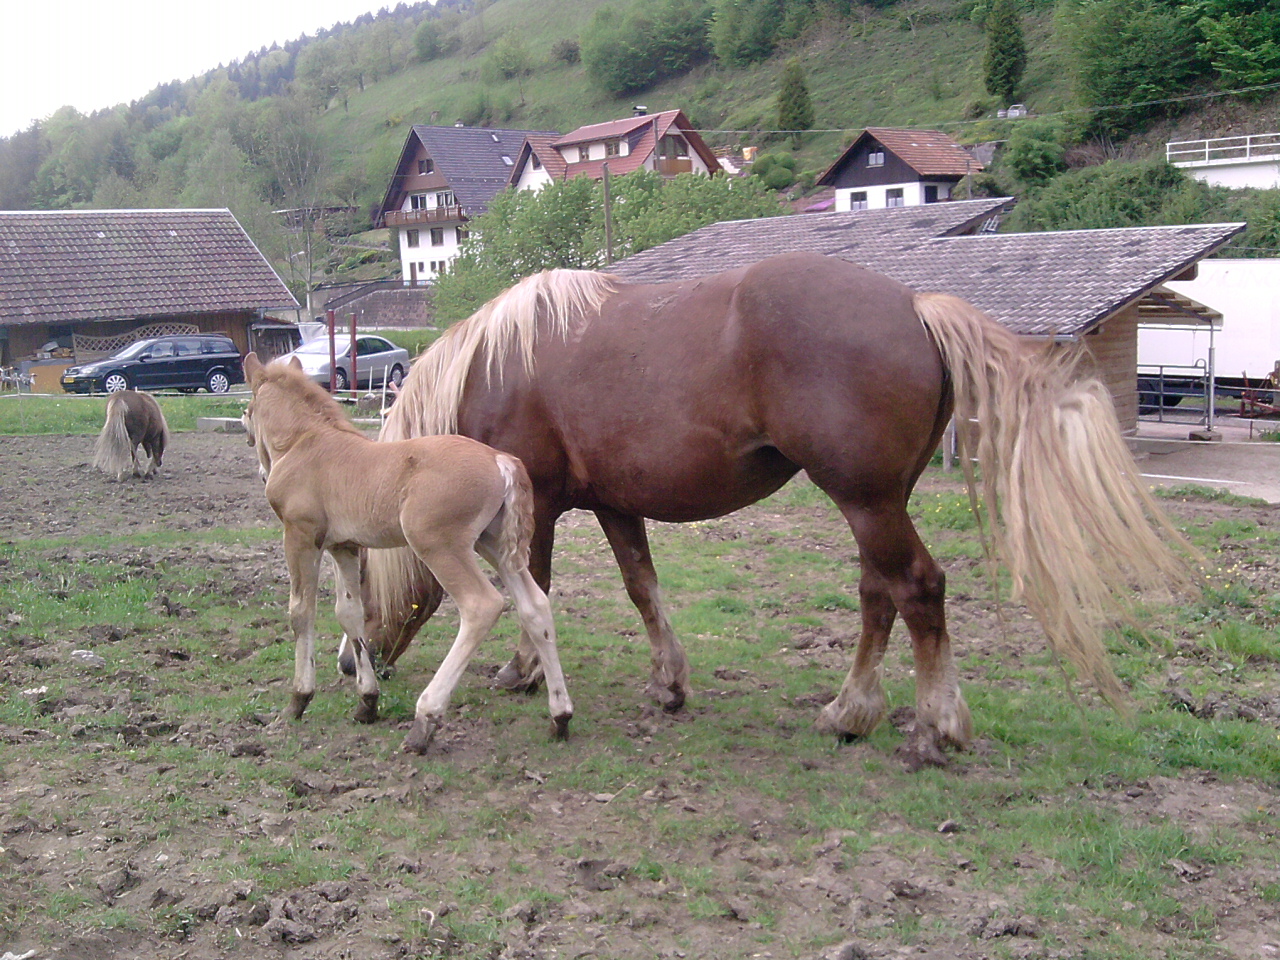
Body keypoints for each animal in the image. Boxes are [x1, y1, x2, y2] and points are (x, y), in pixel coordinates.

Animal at [241, 350, 573, 752]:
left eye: (246, 412)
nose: (259, 466)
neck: (305, 441)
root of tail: (502, 461)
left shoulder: (301, 535)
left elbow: (301, 612)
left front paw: (298, 701)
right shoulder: (344, 546)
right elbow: (349, 614)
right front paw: (367, 702)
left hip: (438, 544)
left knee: (482, 606)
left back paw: (424, 720)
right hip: (493, 544)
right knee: (535, 607)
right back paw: (560, 717)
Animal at [360, 252, 1187, 773]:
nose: (352, 669)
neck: (495, 364)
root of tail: (912, 305)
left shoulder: (538, 506)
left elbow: (535, 589)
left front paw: (524, 672)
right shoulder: (615, 507)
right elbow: (642, 589)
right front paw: (668, 682)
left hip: (867, 502)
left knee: (918, 590)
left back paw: (933, 729)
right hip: (876, 505)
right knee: (879, 595)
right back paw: (850, 712)